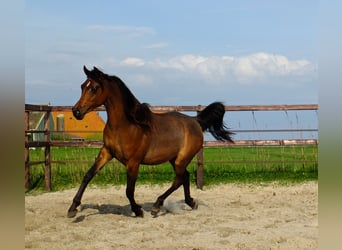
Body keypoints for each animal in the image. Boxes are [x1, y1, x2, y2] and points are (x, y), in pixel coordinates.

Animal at [67, 66, 232, 217]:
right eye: (82, 86)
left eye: (94, 88)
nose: (76, 111)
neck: (126, 125)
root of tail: (195, 121)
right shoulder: (106, 152)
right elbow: (88, 175)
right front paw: (73, 208)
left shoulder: (133, 162)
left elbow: (129, 190)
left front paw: (138, 210)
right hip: (174, 159)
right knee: (184, 176)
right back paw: (191, 202)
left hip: (182, 159)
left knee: (179, 179)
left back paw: (157, 206)